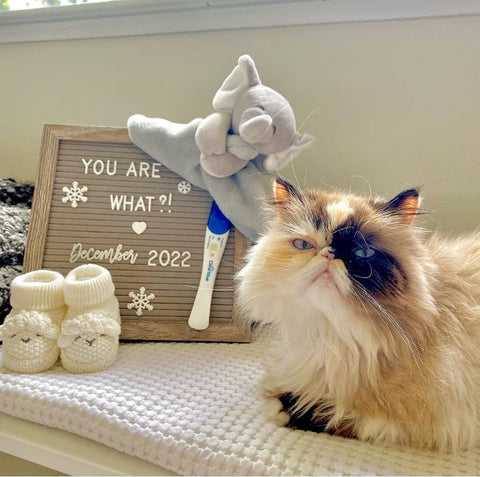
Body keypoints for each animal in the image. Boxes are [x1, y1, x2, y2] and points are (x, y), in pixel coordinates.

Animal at [238, 178, 480, 450]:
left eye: (363, 253)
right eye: (304, 245)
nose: (329, 254)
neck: (331, 335)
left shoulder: (430, 418)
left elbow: (331, 413)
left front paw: (281, 406)